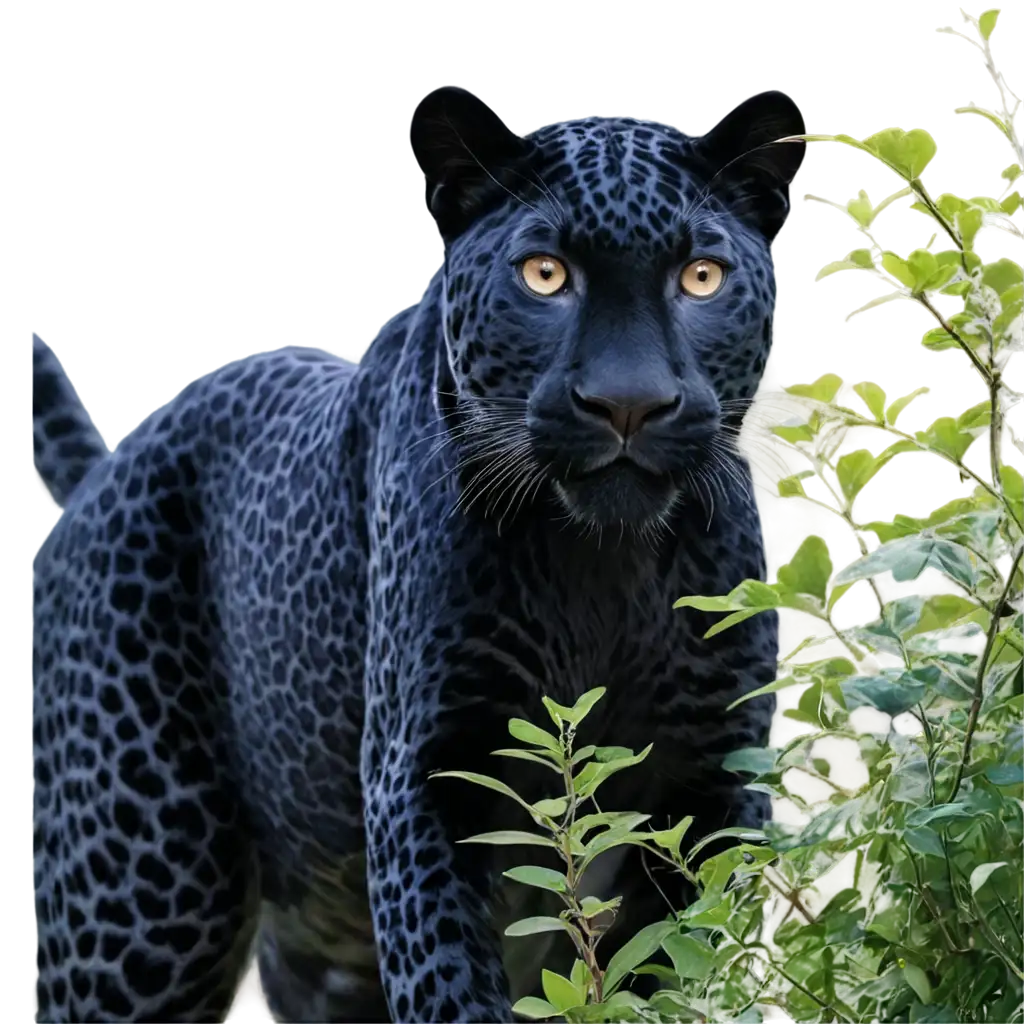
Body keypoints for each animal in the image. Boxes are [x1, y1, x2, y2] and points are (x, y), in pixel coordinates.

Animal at [29, 83, 806, 1019]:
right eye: (544, 274)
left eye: (701, 276)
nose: (628, 402)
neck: (601, 565)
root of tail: (105, 464)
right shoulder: (428, 769)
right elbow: (449, 984)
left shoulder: (715, 773)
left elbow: (680, 972)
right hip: (143, 894)